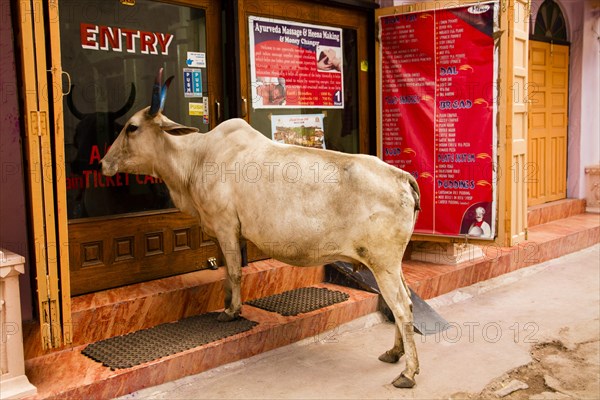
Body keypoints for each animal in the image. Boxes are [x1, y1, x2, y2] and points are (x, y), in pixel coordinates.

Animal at [101, 69, 422, 388]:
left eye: (132, 127)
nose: (104, 163)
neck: (196, 158)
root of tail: (401, 176)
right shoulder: (222, 233)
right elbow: (226, 274)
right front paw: (227, 303)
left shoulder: (226, 226)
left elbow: (233, 272)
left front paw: (232, 311)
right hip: (391, 265)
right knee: (405, 302)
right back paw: (393, 353)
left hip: (382, 263)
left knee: (401, 305)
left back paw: (407, 372)